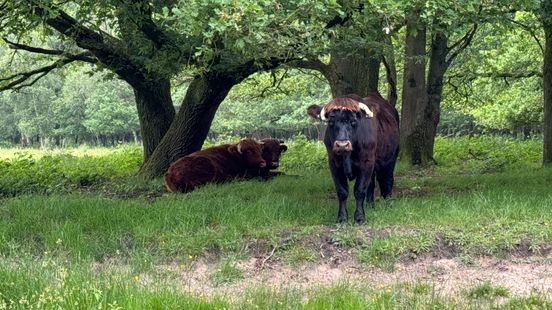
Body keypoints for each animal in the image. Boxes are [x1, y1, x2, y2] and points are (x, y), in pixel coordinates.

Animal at [306, 93, 402, 224]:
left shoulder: (366, 162)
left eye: (353, 121)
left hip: (391, 158)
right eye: (331, 121)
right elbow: (342, 191)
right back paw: (370, 206)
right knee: (371, 184)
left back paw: (388, 204)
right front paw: (342, 218)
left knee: (387, 181)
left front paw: (360, 218)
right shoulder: (334, 164)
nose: (342, 145)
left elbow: (359, 190)